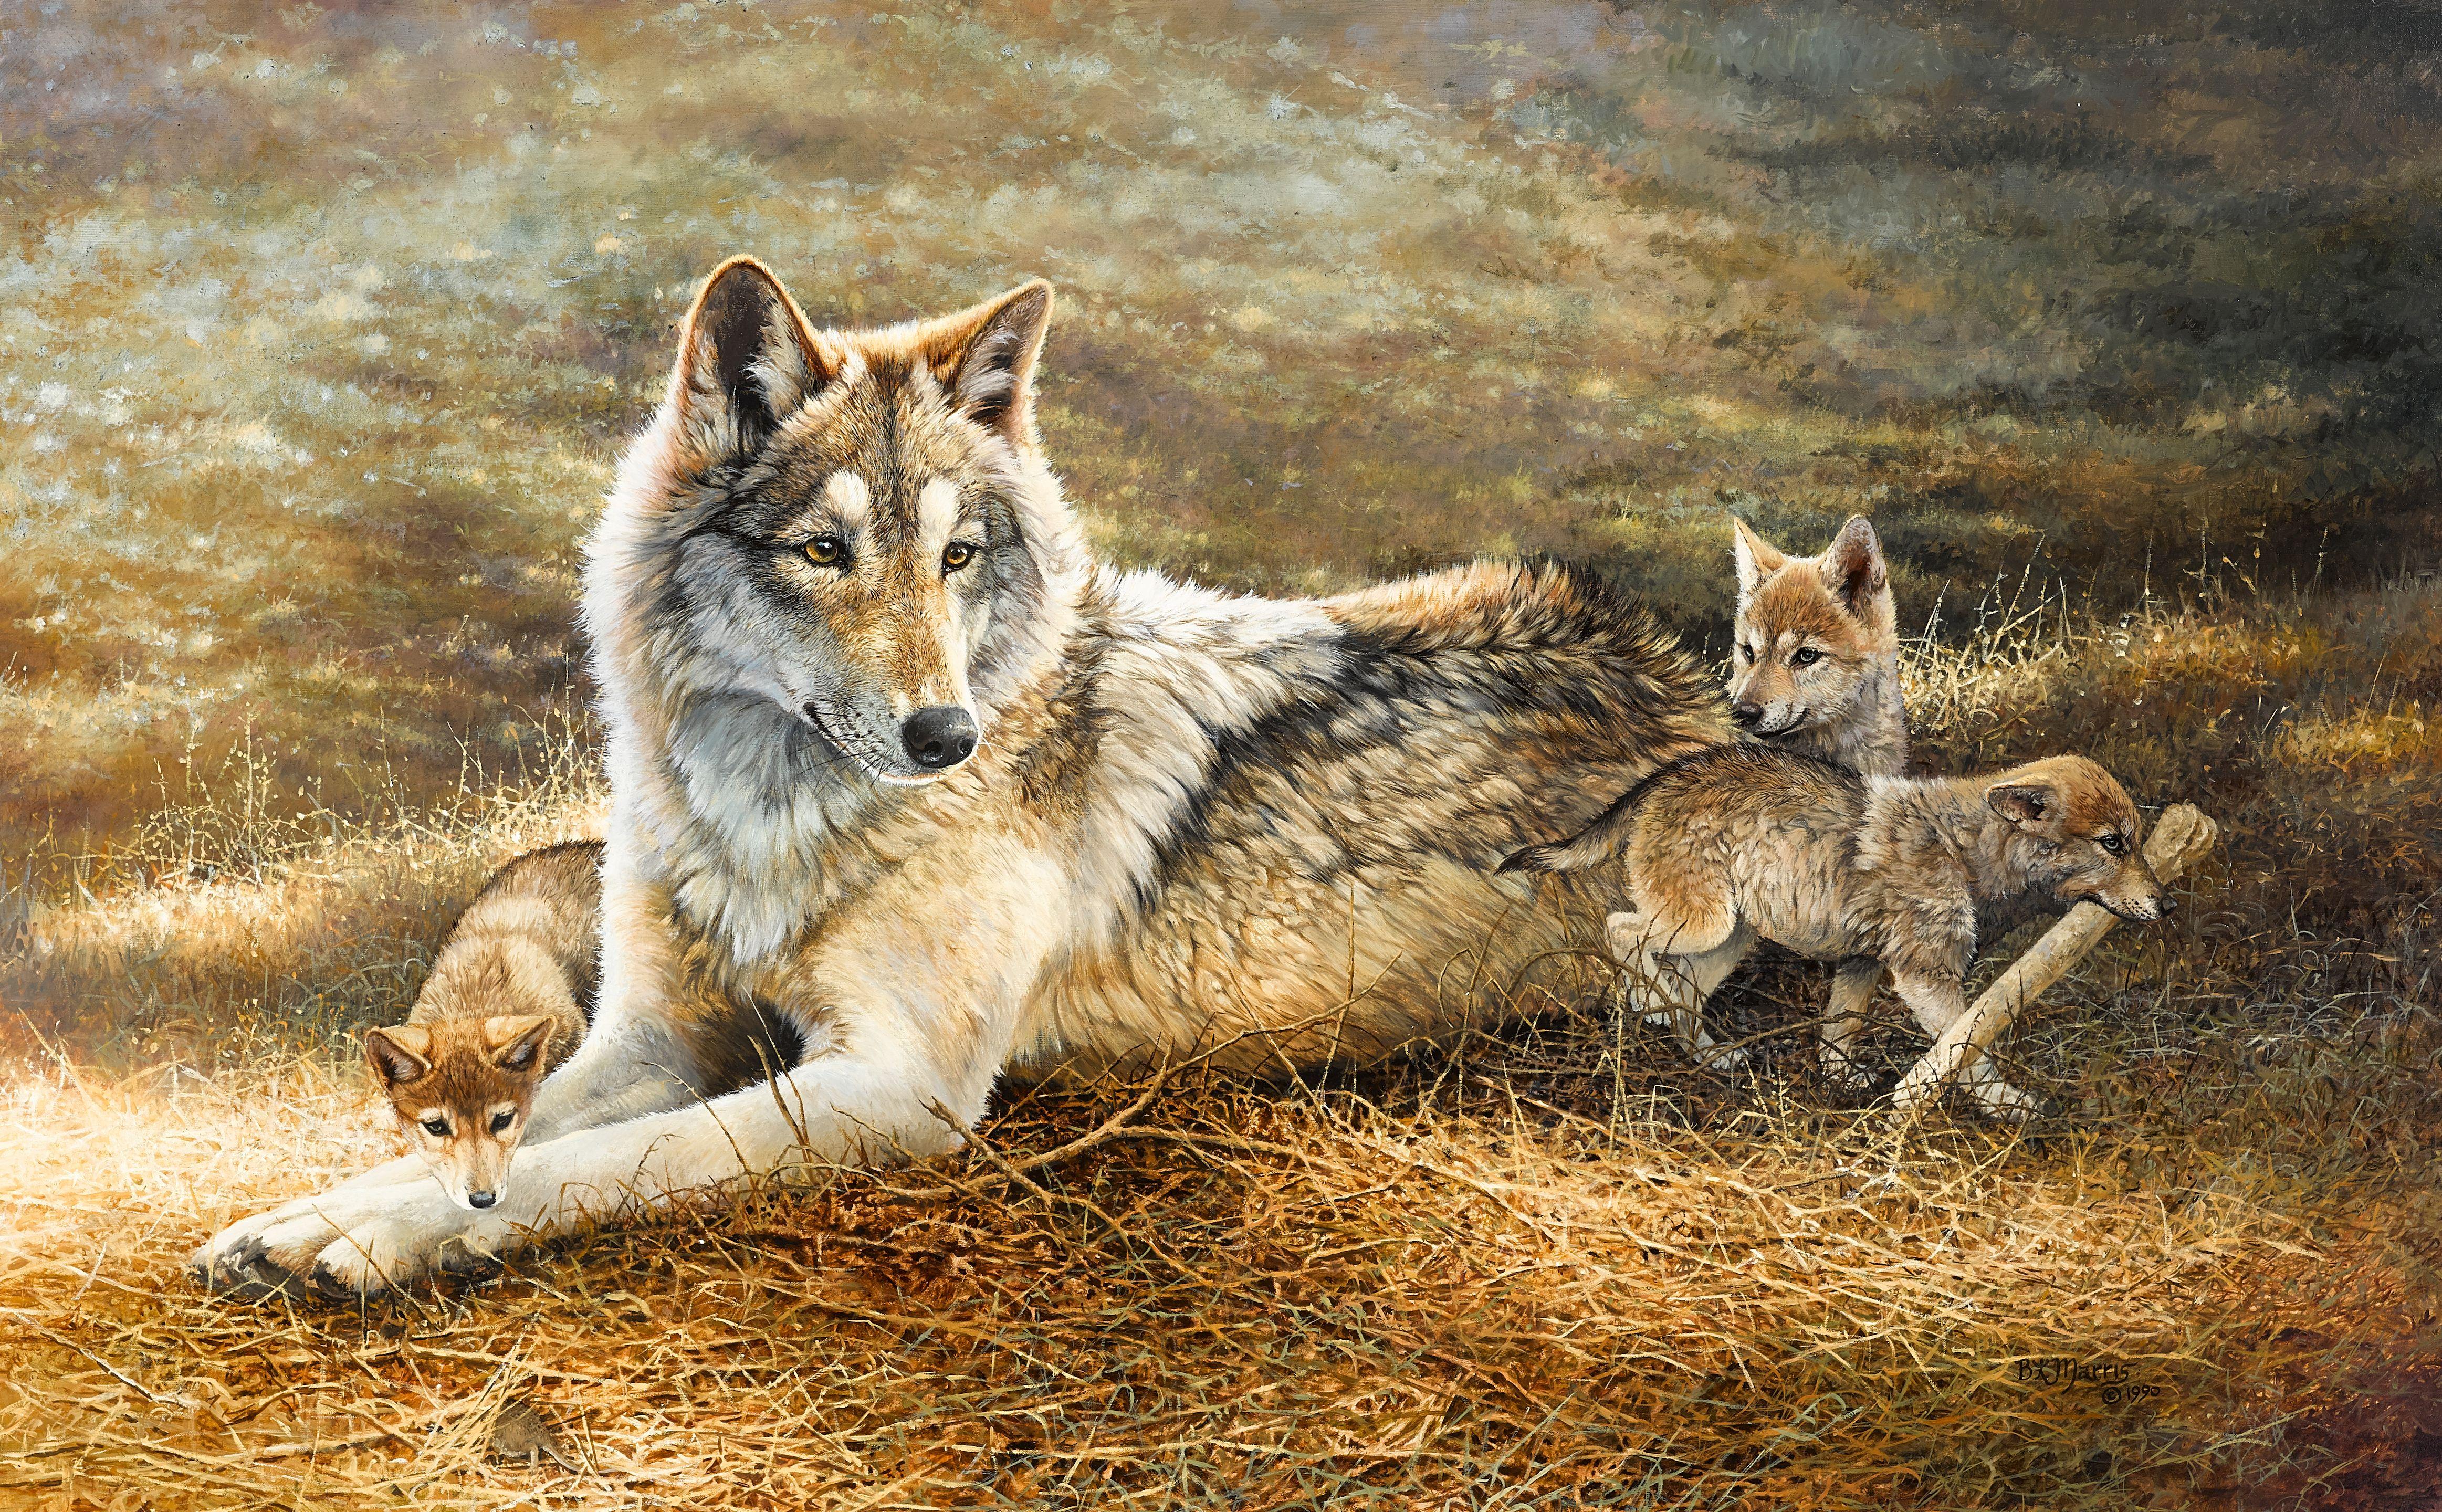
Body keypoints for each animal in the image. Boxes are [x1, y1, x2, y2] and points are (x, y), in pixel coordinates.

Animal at [193, 256, 1728, 1298]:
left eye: (957, 556)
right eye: (824, 553)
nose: (947, 736)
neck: (771, 816)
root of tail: (1691, 677)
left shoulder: (895, 1084)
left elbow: (600, 1162)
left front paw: (378, 1236)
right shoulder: (653, 1036)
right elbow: (498, 1133)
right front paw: (325, 1209)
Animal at [1512, 745, 2170, 1118]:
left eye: (2135, 840)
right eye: (2113, 844)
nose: (2166, 904)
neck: (1970, 849)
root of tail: (1671, 775)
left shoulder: (1865, 964)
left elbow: (1840, 1029)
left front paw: (1840, 1080)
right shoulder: (1925, 978)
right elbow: (1967, 1048)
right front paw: (2007, 1107)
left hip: (1731, 937)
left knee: (1686, 989)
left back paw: (1707, 1051)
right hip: (1703, 923)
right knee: (1621, 930)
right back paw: (1646, 1002)